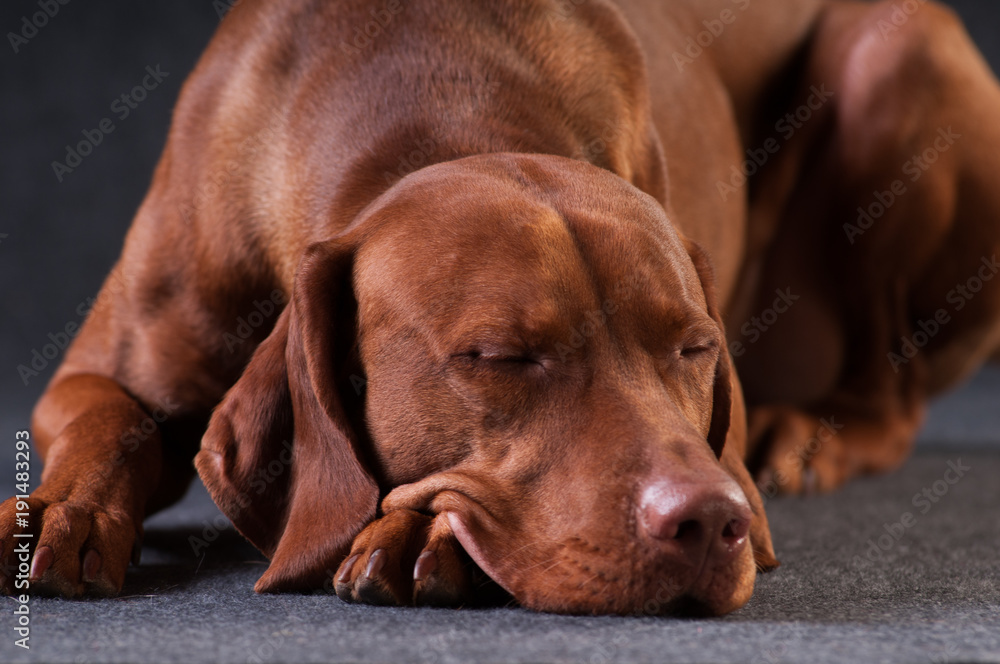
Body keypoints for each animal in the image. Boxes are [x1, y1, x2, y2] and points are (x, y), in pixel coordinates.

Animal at [1, 0, 1000, 616]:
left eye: (693, 348)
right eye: (498, 357)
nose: (714, 522)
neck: (434, 97)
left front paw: (418, 530)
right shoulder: (97, 372)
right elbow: (107, 424)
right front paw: (60, 507)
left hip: (893, 54)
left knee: (889, 392)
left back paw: (816, 433)